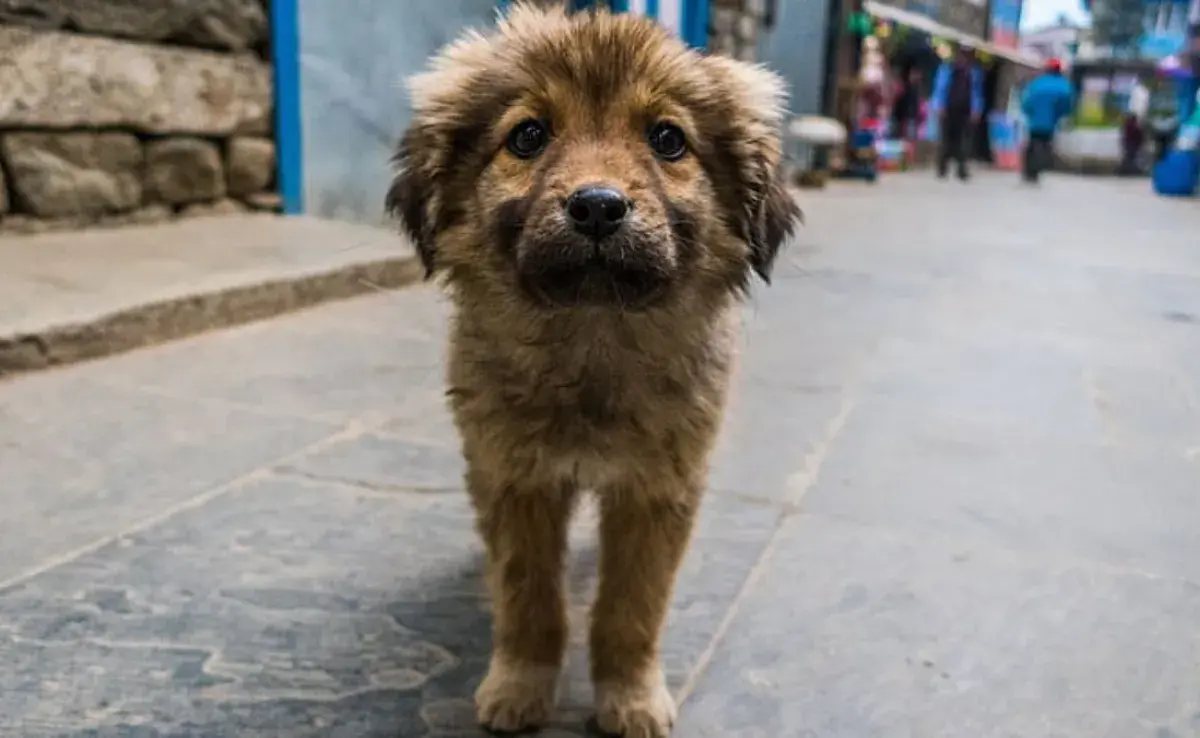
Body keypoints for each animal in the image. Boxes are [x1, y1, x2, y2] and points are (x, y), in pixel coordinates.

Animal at [386, 4, 796, 734]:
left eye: (667, 139)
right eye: (528, 135)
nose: (599, 206)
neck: (592, 341)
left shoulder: (657, 489)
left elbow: (632, 610)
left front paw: (629, 696)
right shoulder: (516, 478)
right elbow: (529, 599)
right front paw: (520, 685)